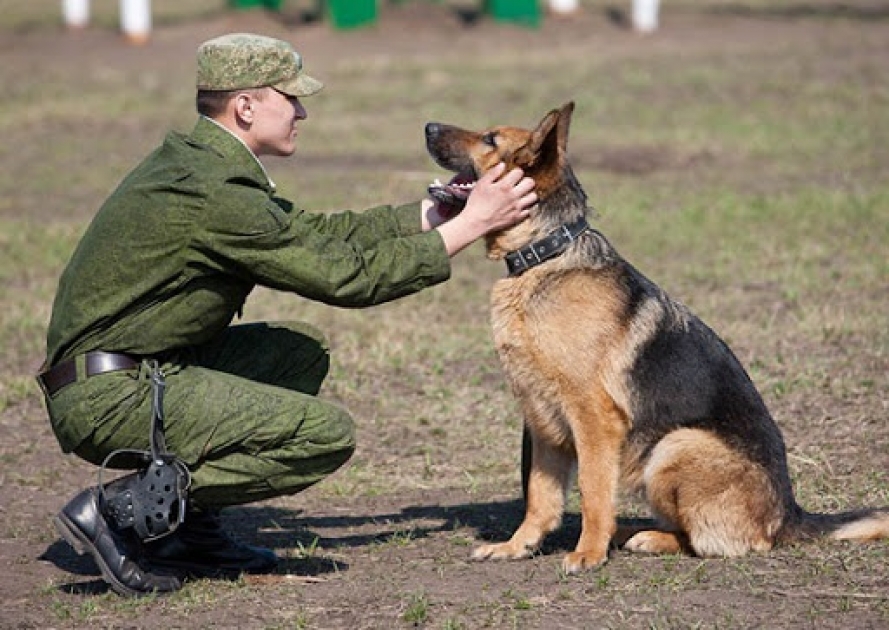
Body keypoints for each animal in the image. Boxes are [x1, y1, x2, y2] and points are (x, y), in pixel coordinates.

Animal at [424, 102, 888, 572]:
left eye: (490, 139)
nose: (428, 126)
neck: (546, 254)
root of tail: (789, 515)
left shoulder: (593, 418)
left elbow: (593, 492)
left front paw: (588, 553)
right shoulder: (541, 420)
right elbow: (539, 496)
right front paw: (517, 546)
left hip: (674, 447)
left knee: (718, 542)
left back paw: (642, 537)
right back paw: (629, 533)